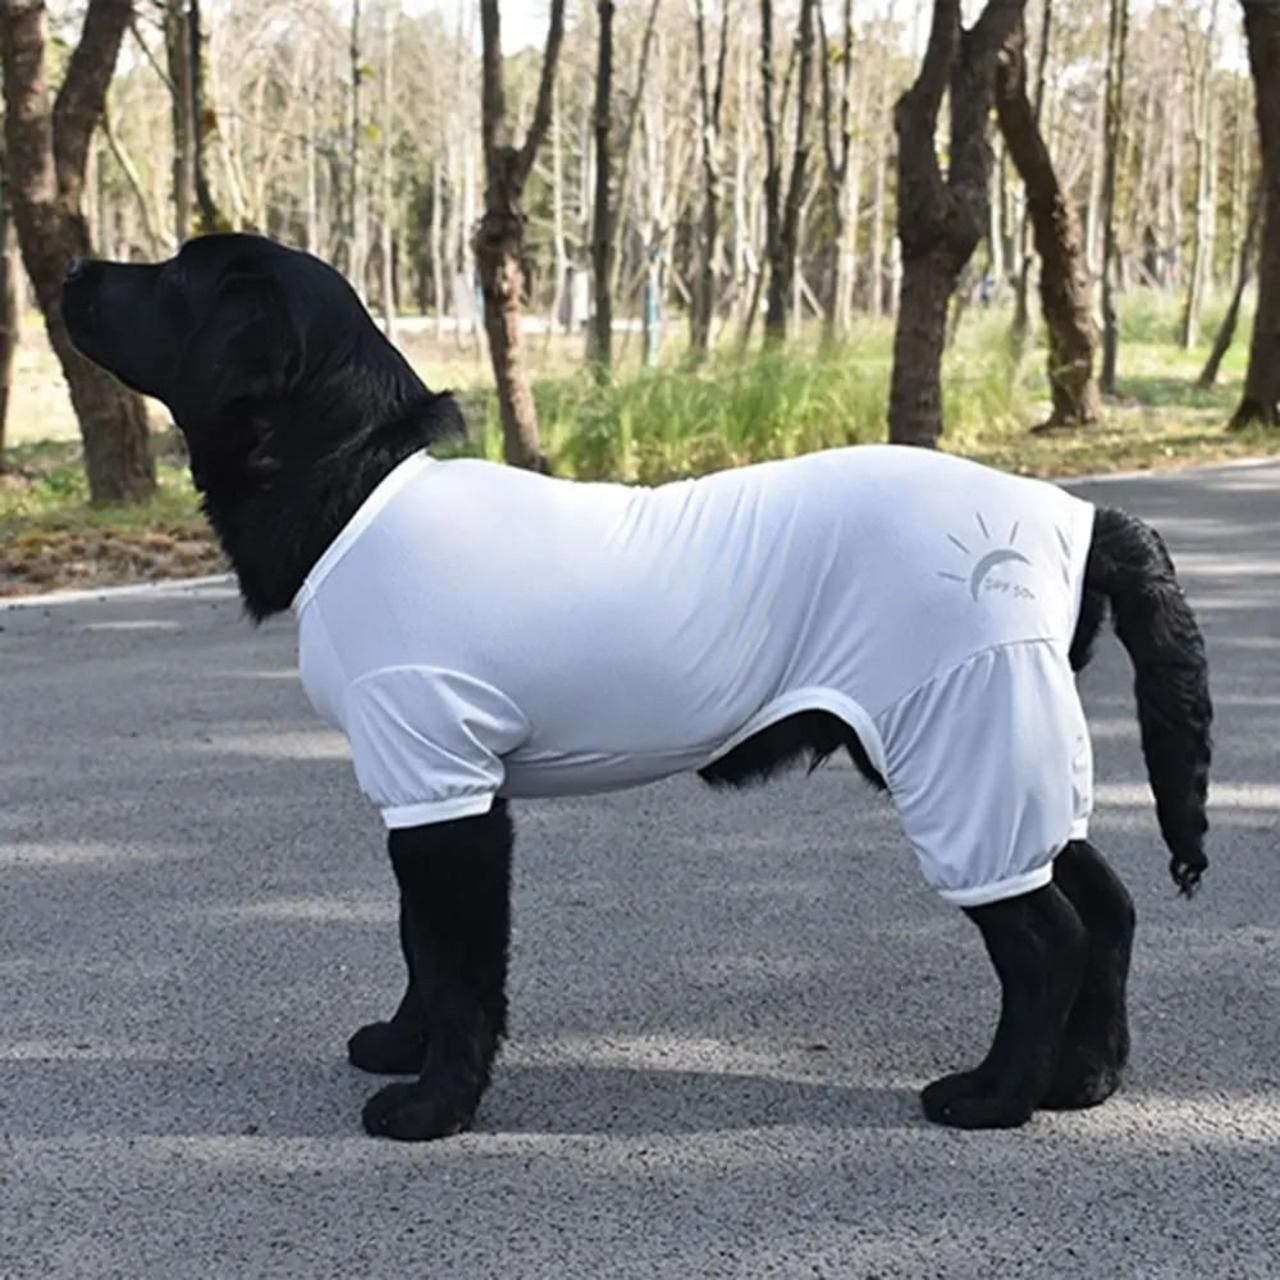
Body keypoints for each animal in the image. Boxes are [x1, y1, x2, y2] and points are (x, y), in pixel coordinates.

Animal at [62, 234, 1212, 1141]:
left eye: (177, 275)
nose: (71, 266)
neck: (355, 482)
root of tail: (1076, 515)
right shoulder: (422, 785)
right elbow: (415, 940)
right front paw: (399, 1043)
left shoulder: (445, 785)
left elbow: (454, 960)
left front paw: (432, 1105)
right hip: (992, 739)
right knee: (1102, 905)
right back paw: (1084, 1080)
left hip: (954, 737)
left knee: (1044, 936)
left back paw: (993, 1096)